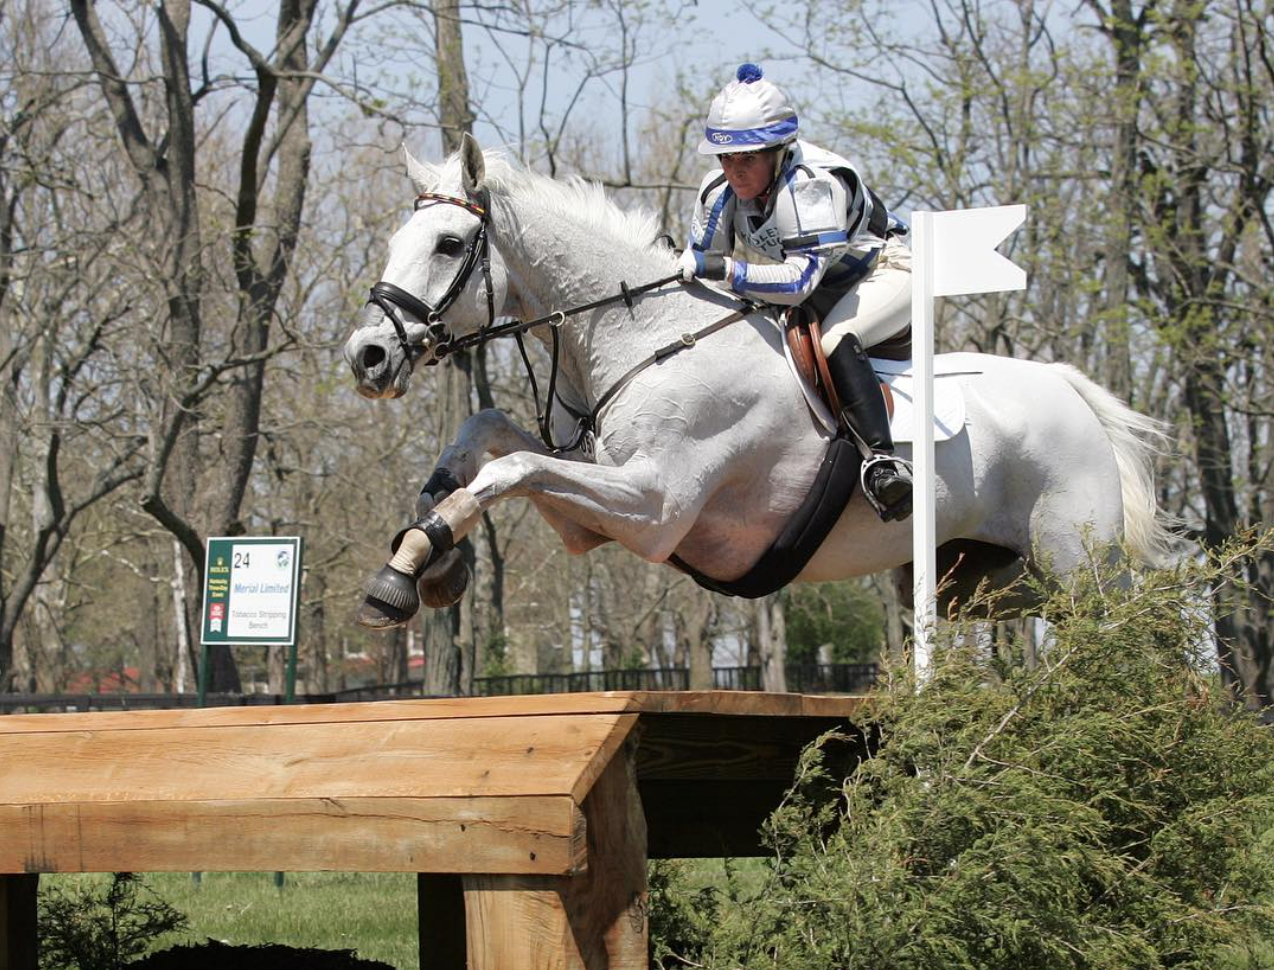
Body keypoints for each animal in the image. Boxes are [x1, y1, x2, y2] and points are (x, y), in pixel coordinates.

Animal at [342, 134, 1174, 628]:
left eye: (450, 245)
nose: (367, 356)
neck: (646, 334)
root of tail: (1068, 387)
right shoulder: (592, 511)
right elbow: (487, 439)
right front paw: (426, 547)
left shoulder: (653, 508)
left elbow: (510, 466)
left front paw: (408, 567)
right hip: (981, 581)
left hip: (1078, 564)